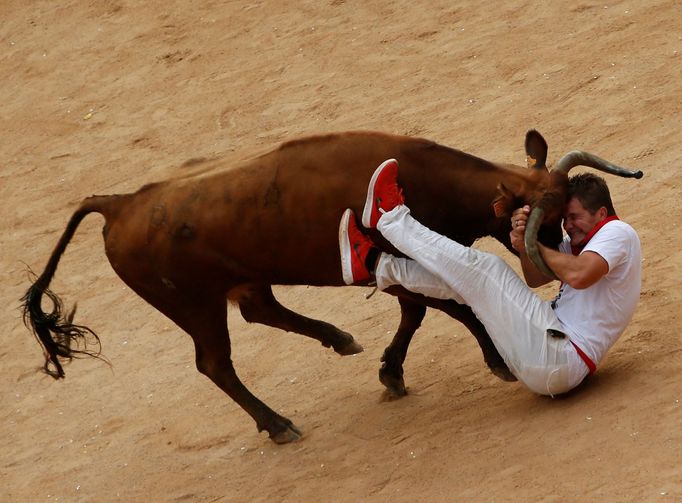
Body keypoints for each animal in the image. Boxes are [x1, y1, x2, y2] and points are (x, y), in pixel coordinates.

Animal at [21, 131, 636, 444]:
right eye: (548, 217)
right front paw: (493, 361)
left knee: (260, 311)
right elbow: (447, 308)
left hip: (239, 282)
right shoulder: (400, 258)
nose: (559, 253)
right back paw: (278, 425)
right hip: (194, 305)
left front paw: (391, 372)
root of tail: (120, 203)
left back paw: (338, 339)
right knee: (215, 362)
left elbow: (425, 311)